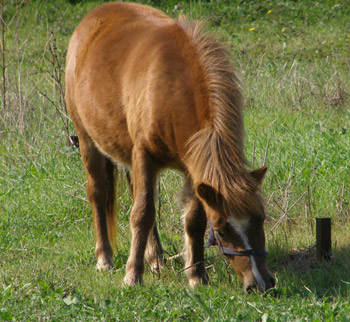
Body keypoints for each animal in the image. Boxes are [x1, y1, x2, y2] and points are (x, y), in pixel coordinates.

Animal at [64, 1, 274, 292]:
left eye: (261, 218)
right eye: (221, 230)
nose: (261, 283)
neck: (171, 88)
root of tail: (93, 17)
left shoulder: (191, 168)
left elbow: (193, 220)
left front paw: (196, 276)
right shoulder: (144, 156)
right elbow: (142, 214)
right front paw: (132, 275)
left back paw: (155, 259)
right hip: (88, 141)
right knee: (97, 193)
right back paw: (105, 258)